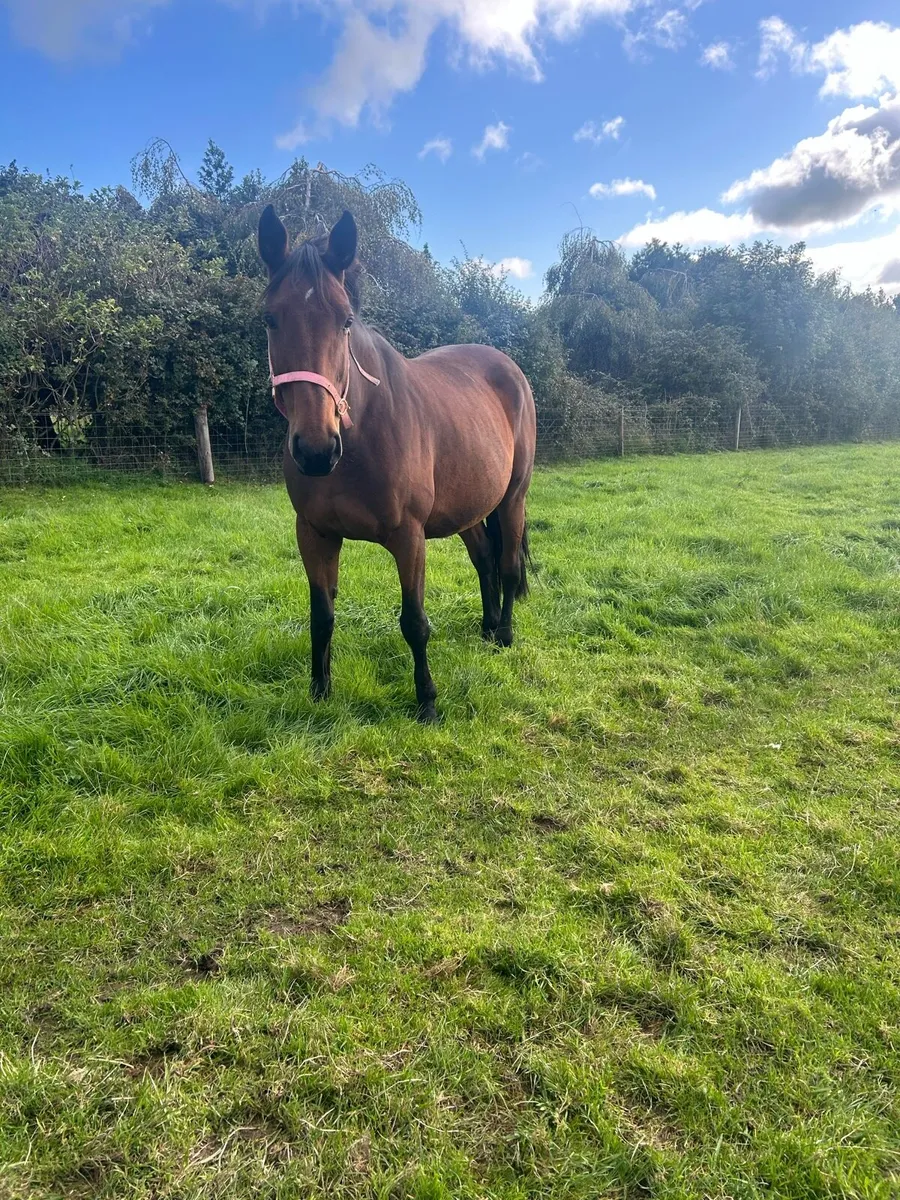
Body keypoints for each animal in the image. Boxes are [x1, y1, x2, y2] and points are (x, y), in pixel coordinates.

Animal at [258, 205, 536, 722]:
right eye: (270, 318)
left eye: (345, 320)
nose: (315, 450)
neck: (360, 436)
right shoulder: (314, 532)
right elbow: (321, 616)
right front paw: (320, 691)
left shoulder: (409, 537)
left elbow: (414, 622)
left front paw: (427, 700)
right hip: (467, 507)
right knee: (484, 559)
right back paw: (487, 627)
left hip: (513, 497)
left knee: (507, 565)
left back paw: (504, 635)